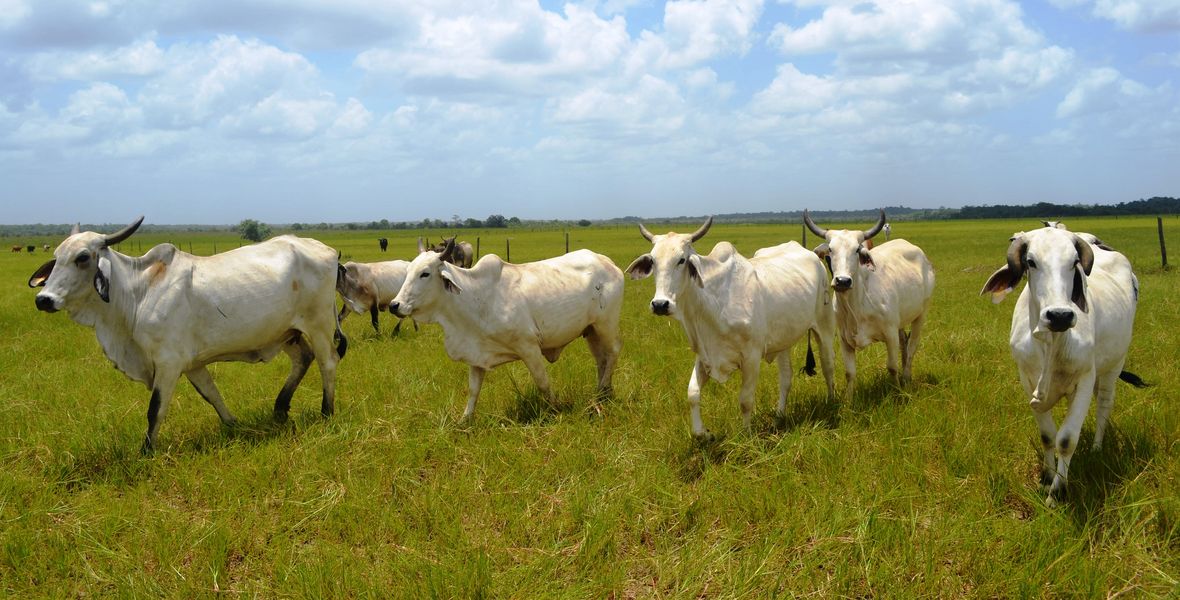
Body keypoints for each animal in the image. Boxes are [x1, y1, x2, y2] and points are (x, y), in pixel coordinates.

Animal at [29, 217, 347, 453]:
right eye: (56, 258)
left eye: (82, 257)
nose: (44, 299)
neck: (138, 292)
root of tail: (329, 251)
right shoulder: (193, 363)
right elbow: (211, 394)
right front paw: (233, 425)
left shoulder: (169, 363)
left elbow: (156, 409)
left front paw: (146, 452)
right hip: (288, 333)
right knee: (303, 358)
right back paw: (280, 409)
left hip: (318, 323)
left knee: (327, 362)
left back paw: (326, 412)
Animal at [389, 239, 624, 420]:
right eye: (407, 271)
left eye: (425, 274)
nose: (394, 305)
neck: (476, 297)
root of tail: (608, 263)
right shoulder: (477, 353)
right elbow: (473, 390)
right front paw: (465, 420)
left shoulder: (529, 346)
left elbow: (543, 382)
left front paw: (559, 407)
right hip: (591, 330)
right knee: (601, 359)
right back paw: (602, 392)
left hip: (606, 324)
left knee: (613, 351)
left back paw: (602, 392)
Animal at [625, 217, 836, 441]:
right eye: (653, 261)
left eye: (681, 260)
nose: (660, 304)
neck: (713, 302)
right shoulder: (705, 355)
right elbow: (692, 394)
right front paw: (704, 433)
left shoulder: (751, 358)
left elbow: (745, 400)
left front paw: (746, 436)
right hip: (784, 341)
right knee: (786, 378)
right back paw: (778, 418)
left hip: (824, 327)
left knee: (828, 365)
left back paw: (831, 404)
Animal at [804, 209, 935, 399]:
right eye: (830, 249)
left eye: (857, 250)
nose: (843, 281)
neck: (856, 304)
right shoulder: (844, 338)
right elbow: (850, 372)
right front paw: (848, 400)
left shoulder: (890, 333)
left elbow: (892, 366)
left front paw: (897, 391)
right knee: (905, 342)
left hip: (922, 312)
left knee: (912, 345)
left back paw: (906, 376)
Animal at [980, 227, 1146, 504]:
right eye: (1031, 262)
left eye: (1074, 262)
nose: (1059, 315)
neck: (1052, 342)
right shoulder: (1027, 381)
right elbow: (1048, 436)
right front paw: (1047, 478)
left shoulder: (1085, 380)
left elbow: (1067, 439)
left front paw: (1058, 492)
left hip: (1114, 365)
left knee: (1103, 406)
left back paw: (1096, 449)